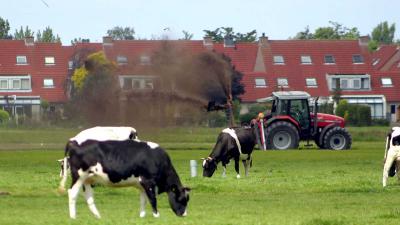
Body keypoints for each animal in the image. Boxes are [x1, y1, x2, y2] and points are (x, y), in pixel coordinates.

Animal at [58, 140, 191, 219]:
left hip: (88, 180)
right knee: (72, 193)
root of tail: (75, 142)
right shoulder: (148, 181)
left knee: (89, 197)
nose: (184, 214)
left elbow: (143, 200)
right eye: (181, 199)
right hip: (79, 176)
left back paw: (98, 217)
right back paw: (73, 217)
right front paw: (156, 216)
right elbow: (152, 199)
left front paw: (142, 217)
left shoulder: (142, 185)